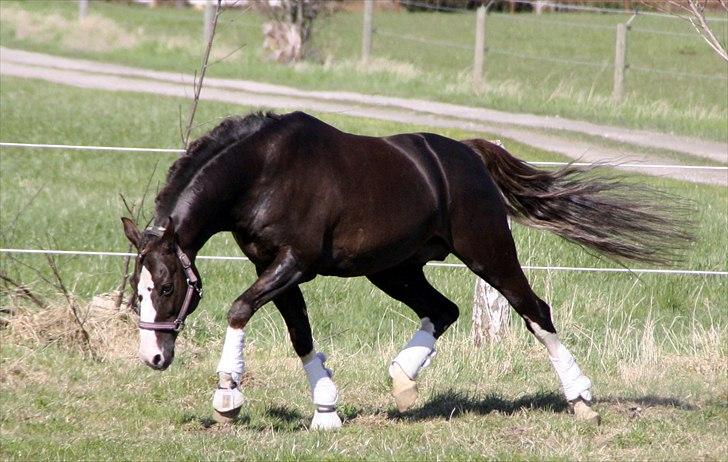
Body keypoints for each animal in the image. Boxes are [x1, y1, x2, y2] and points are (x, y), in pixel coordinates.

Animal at [121, 111, 690, 429]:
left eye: (167, 286)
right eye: (137, 292)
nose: (154, 356)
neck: (264, 171)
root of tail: (469, 155)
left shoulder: (293, 264)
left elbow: (239, 309)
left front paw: (227, 397)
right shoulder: (272, 266)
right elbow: (301, 334)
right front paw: (327, 411)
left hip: (488, 253)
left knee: (535, 311)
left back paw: (582, 399)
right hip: (395, 270)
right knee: (445, 310)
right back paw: (402, 380)